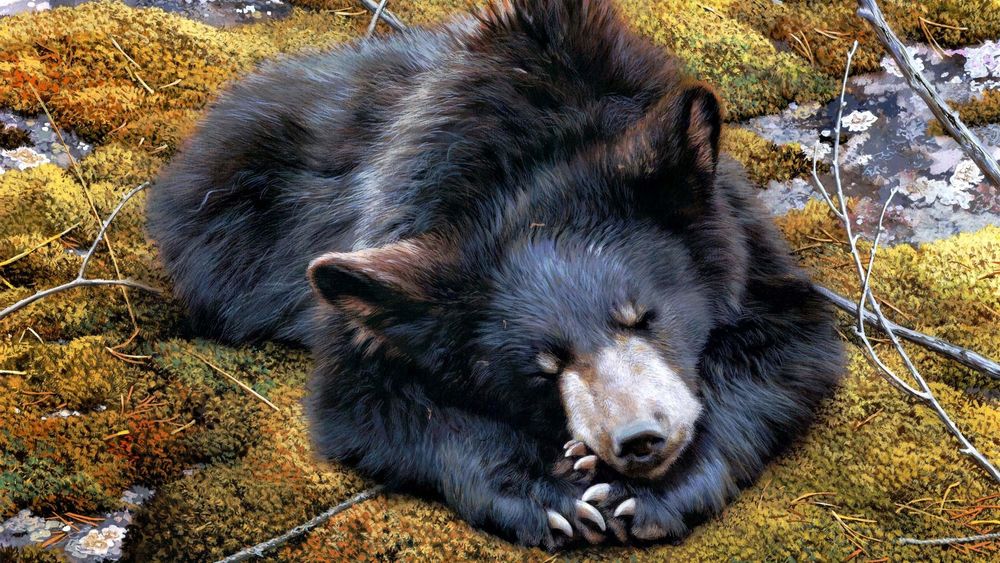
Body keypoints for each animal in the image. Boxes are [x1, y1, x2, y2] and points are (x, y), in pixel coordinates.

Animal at [146, 0, 845, 550]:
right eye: (543, 368)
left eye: (645, 316)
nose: (640, 439)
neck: (522, 170)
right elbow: (367, 403)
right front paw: (551, 495)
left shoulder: (744, 240)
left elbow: (789, 350)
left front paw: (653, 492)